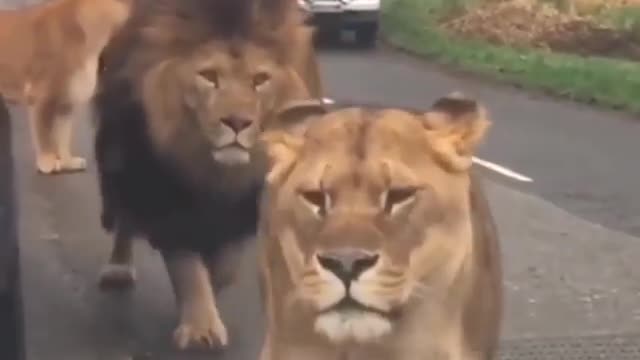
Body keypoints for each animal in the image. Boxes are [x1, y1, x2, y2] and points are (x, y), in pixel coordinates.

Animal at [0, 0, 132, 174]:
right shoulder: (41, 97)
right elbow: (44, 135)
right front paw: (47, 162)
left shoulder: (65, 104)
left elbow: (63, 138)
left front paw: (68, 162)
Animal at [94, 0, 324, 352]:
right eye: (209, 77)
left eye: (260, 79)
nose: (237, 123)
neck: (215, 171)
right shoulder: (167, 203)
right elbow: (188, 267)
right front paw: (201, 327)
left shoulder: (244, 205)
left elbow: (225, 267)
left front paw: (208, 295)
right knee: (125, 218)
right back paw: (118, 269)